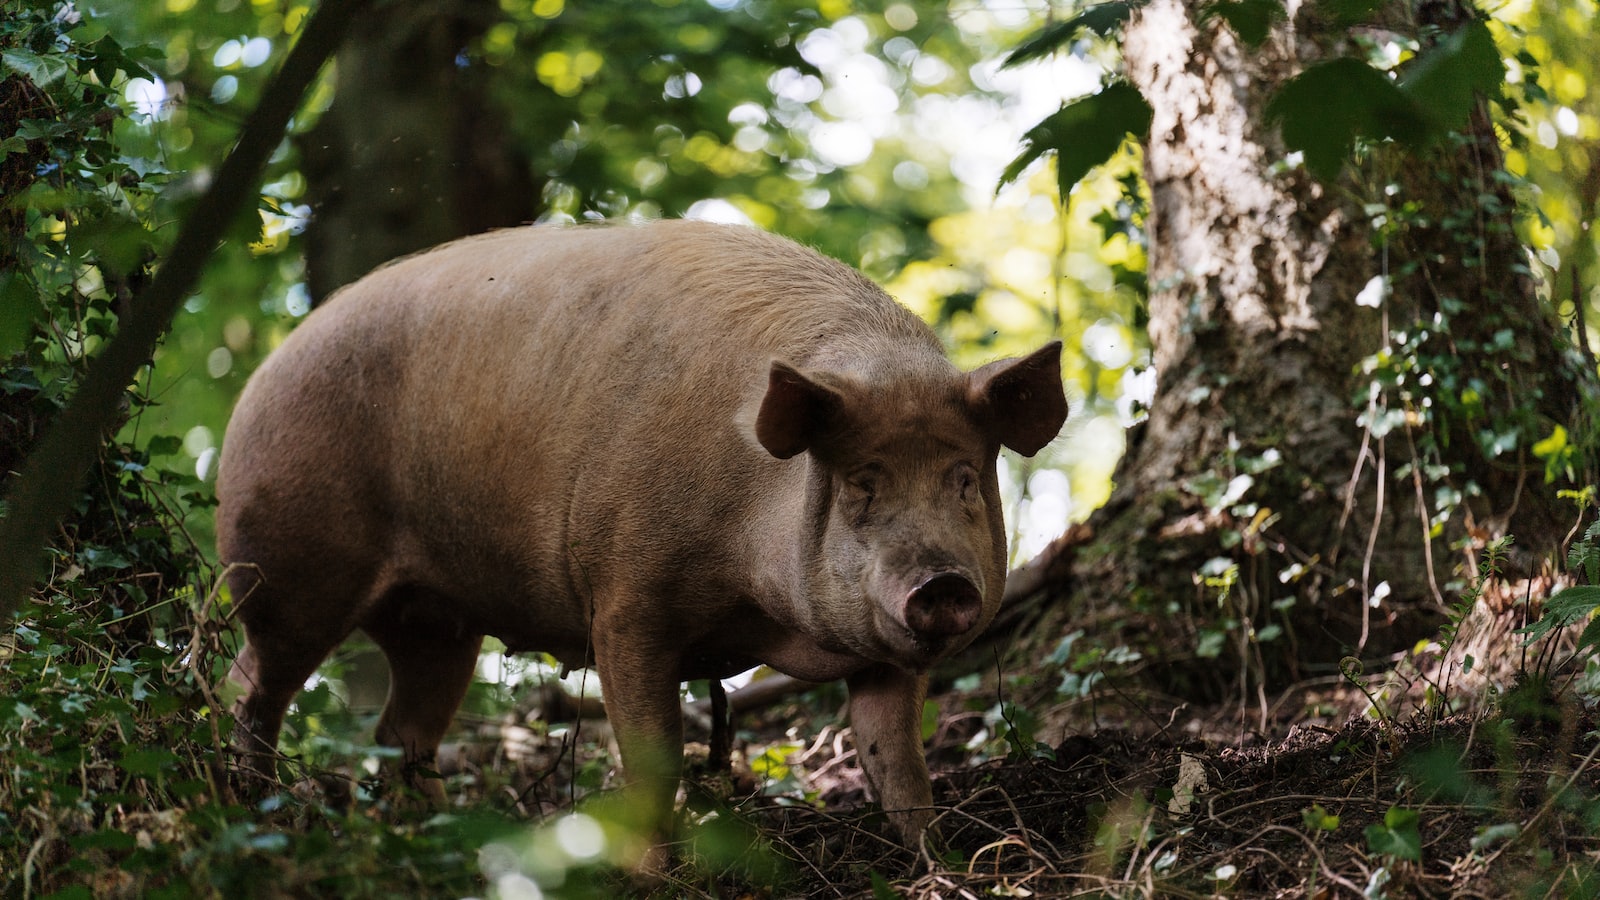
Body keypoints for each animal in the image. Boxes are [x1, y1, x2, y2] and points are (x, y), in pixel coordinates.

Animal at [212, 217, 1062, 845]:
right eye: (862, 484)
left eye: (962, 480)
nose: (942, 581)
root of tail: (266, 367)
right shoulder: (625, 600)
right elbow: (653, 766)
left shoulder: (884, 653)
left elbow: (900, 768)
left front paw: (930, 860)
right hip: (286, 563)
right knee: (249, 683)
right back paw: (249, 804)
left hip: (437, 623)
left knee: (401, 731)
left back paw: (426, 834)